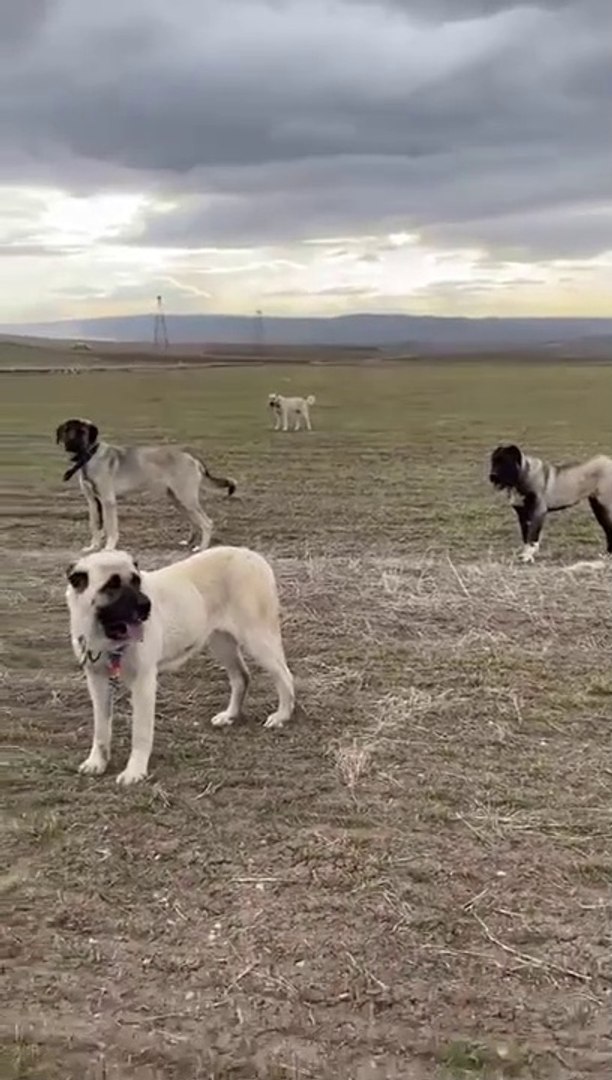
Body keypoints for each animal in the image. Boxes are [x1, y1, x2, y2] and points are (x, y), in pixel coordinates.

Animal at [56, 419, 236, 552]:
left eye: (83, 432)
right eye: (67, 431)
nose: (71, 443)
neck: (89, 456)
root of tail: (191, 457)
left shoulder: (108, 501)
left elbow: (110, 527)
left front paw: (109, 548)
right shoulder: (93, 502)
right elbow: (95, 525)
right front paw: (93, 546)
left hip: (186, 498)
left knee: (207, 523)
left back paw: (202, 547)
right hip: (178, 499)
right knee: (195, 522)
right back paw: (189, 542)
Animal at [65, 548, 295, 786]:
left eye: (136, 581)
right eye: (112, 585)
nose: (147, 606)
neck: (106, 637)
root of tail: (252, 555)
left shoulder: (144, 683)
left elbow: (140, 733)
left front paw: (135, 771)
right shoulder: (97, 681)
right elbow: (101, 729)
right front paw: (97, 762)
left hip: (257, 639)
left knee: (285, 676)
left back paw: (282, 716)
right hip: (221, 642)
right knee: (241, 677)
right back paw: (230, 715)